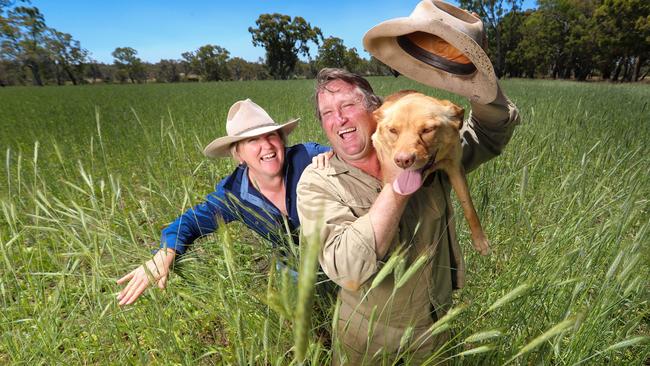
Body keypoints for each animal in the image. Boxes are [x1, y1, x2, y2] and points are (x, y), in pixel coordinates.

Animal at [370, 91, 486, 254]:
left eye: (427, 130)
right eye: (393, 130)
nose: (403, 161)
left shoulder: (455, 167)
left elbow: (469, 207)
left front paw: (480, 241)